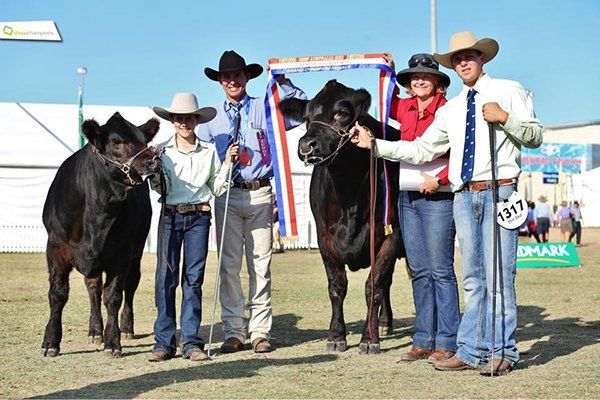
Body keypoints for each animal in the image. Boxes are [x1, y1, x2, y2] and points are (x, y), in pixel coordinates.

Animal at [41, 111, 161, 356]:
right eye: (116, 142)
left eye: (145, 141)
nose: (154, 160)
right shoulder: (55, 247)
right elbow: (57, 295)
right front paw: (50, 342)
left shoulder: (122, 255)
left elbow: (114, 296)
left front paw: (113, 342)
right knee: (93, 288)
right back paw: (94, 330)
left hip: (137, 252)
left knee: (130, 286)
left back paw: (126, 328)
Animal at [280, 80, 404, 354]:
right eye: (307, 118)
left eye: (342, 113)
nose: (306, 145)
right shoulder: (324, 237)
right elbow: (337, 286)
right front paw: (336, 336)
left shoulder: (391, 236)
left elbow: (374, 286)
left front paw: (369, 339)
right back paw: (384, 323)